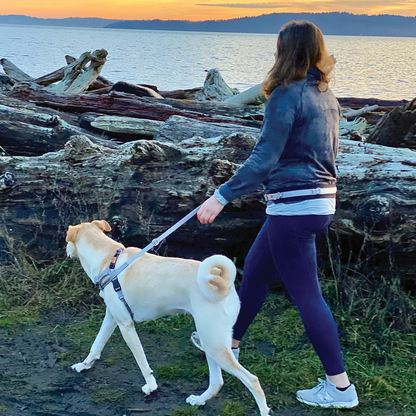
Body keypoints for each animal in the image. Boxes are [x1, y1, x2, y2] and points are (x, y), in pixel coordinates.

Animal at [66, 219, 270, 414]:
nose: (66, 250)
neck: (109, 259)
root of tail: (223, 285)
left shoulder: (126, 326)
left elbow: (142, 362)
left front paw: (151, 387)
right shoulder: (111, 318)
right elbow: (96, 345)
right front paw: (84, 365)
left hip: (214, 345)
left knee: (252, 380)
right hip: (210, 342)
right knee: (217, 381)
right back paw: (199, 400)